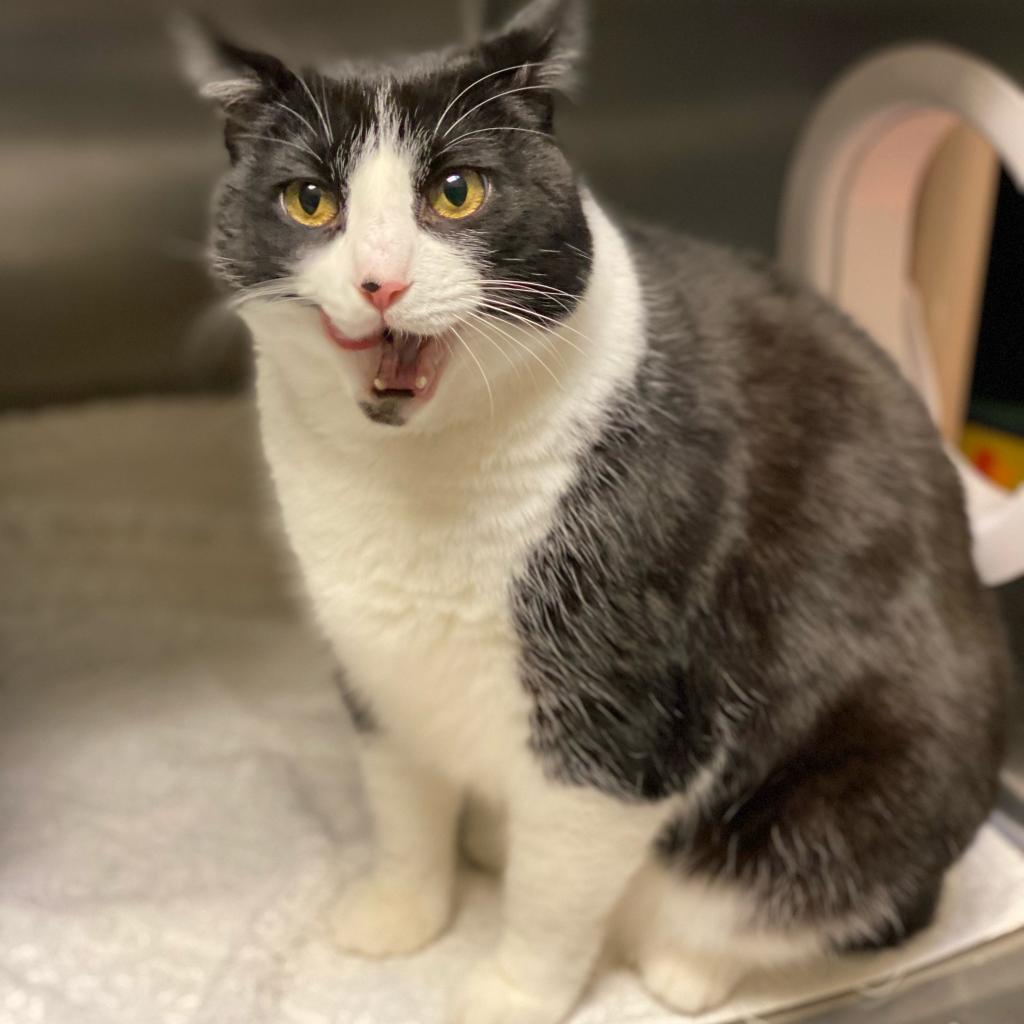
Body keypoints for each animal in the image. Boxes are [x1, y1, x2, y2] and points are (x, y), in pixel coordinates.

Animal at [180, 4, 1011, 1019]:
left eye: (457, 192)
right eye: (309, 200)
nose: (381, 281)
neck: (411, 476)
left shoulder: (621, 704)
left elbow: (554, 889)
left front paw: (510, 993)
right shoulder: (375, 656)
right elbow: (403, 800)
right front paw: (400, 912)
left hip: (873, 783)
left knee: (794, 899)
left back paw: (684, 966)